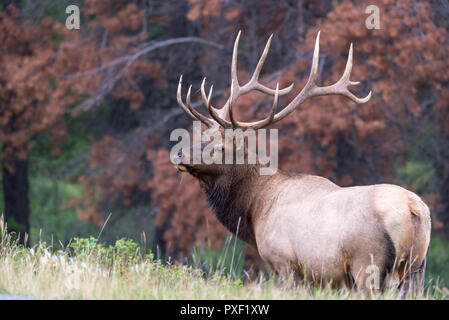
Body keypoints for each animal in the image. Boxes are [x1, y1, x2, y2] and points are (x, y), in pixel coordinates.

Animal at [172, 31, 430, 292]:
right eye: (202, 137)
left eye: (221, 147)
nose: (179, 154)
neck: (256, 209)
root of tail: (413, 208)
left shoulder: (285, 262)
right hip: (416, 269)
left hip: (367, 263)